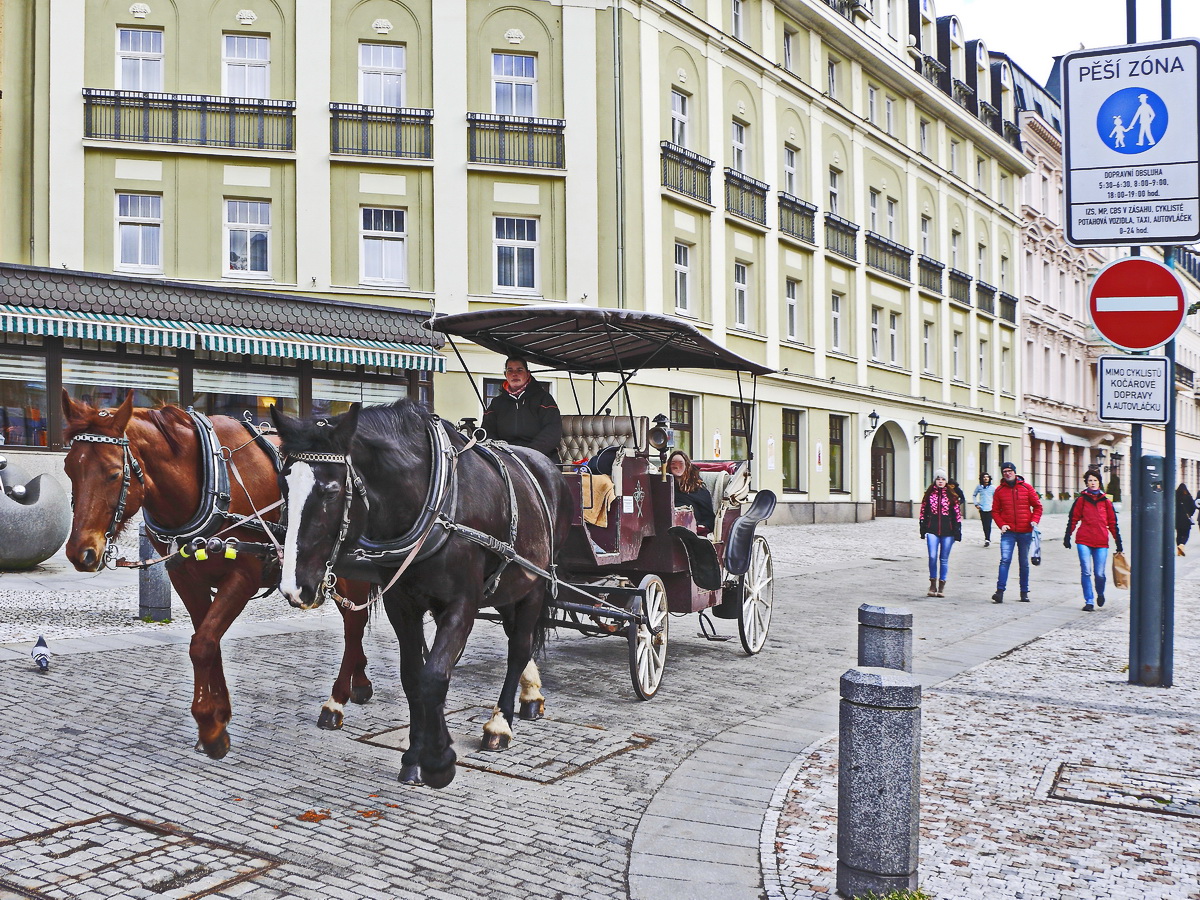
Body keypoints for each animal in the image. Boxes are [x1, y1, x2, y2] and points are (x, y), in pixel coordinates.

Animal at [59, 393, 374, 763]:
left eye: (112, 474)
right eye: (68, 469)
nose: (80, 552)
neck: (209, 482)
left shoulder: (243, 575)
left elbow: (203, 644)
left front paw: (209, 727)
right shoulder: (185, 577)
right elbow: (208, 641)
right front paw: (219, 715)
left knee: (354, 625)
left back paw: (336, 701)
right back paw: (360, 682)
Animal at [273, 400, 571, 787]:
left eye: (331, 490)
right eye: (283, 485)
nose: (295, 588)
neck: (434, 504)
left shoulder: (462, 604)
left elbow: (435, 676)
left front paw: (439, 760)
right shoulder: (402, 604)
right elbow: (414, 676)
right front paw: (415, 756)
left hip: (535, 583)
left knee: (519, 647)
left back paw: (500, 723)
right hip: (508, 587)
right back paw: (530, 694)